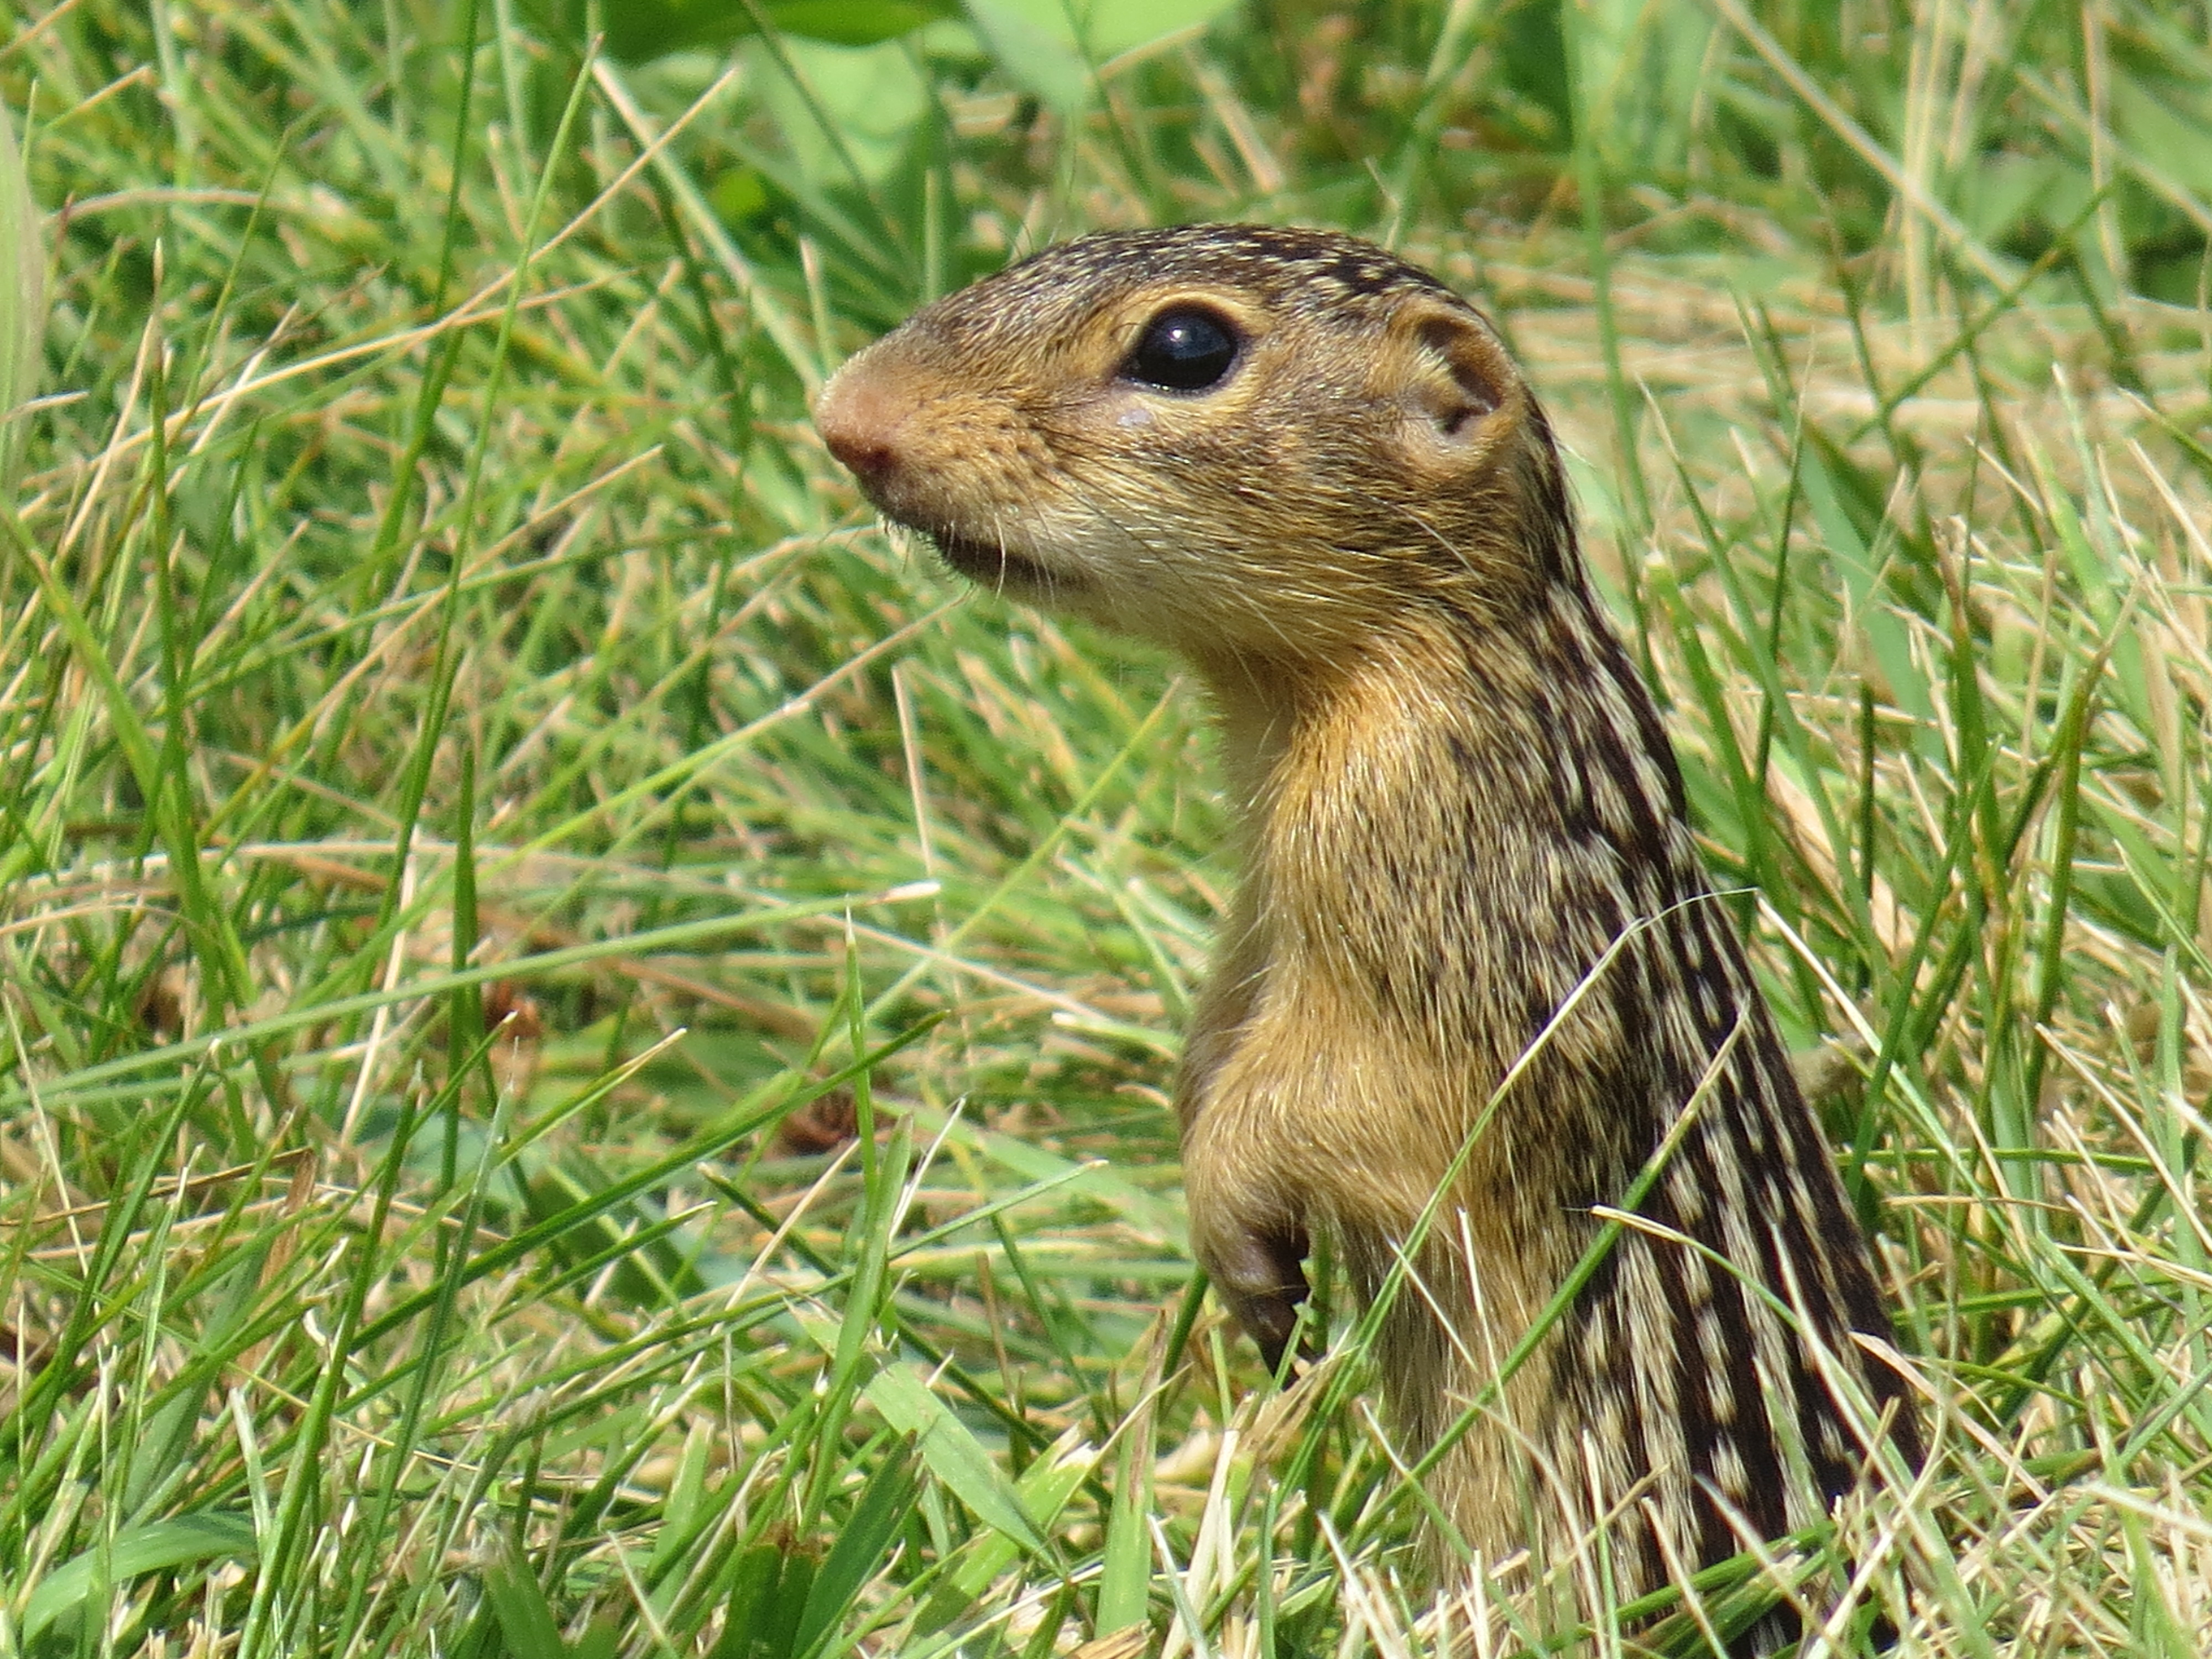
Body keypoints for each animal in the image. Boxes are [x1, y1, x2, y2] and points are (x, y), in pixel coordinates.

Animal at [814, 221, 1920, 1655]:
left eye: (1185, 346)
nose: (844, 418)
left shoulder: (1452, 927)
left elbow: (1358, 1096)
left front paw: (1232, 1219)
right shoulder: (1259, 917)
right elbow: (1219, 1035)